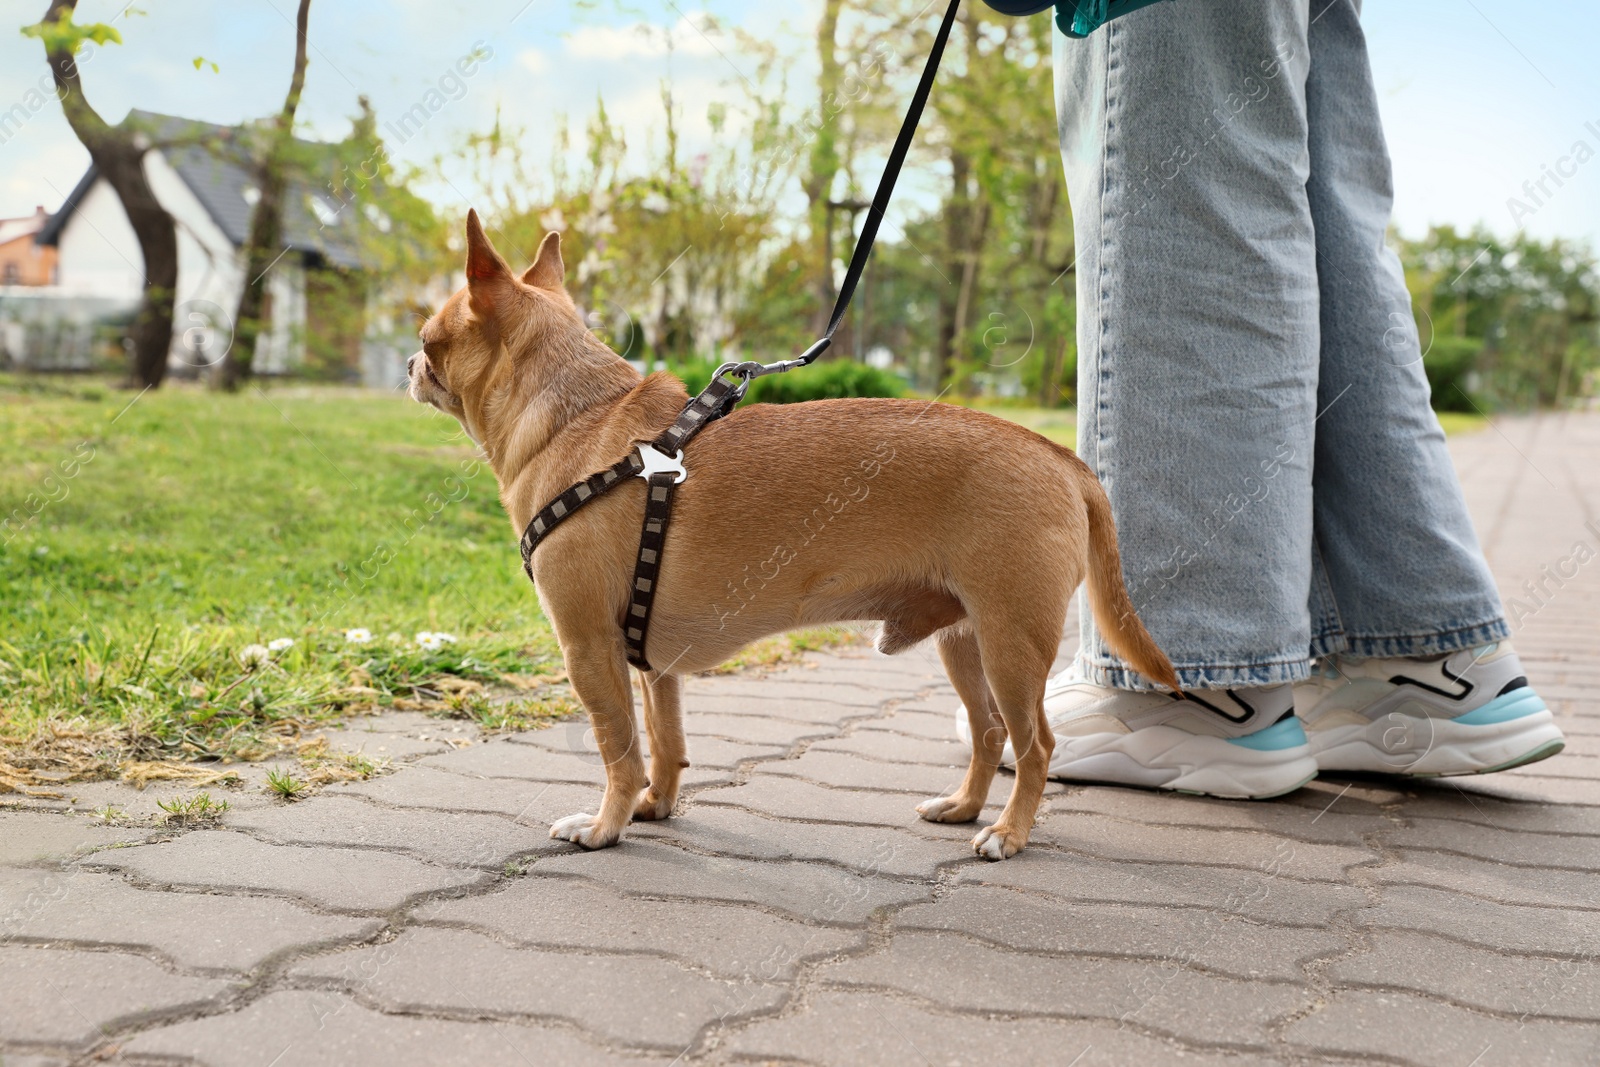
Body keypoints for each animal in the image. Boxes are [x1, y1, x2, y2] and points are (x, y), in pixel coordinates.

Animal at [406, 212, 1184, 863]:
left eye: (425, 339)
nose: (411, 365)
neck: (581, 415)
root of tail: (1062, 458)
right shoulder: (652, 665)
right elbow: (666, 741)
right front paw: (655, 804)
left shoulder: (589, 650)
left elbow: (619, 747)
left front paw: (606, 824)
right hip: (967, 643)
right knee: (992, 733)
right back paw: (965, 806)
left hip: (1010, 643)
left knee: (1037, 744)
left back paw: (1009, 834)